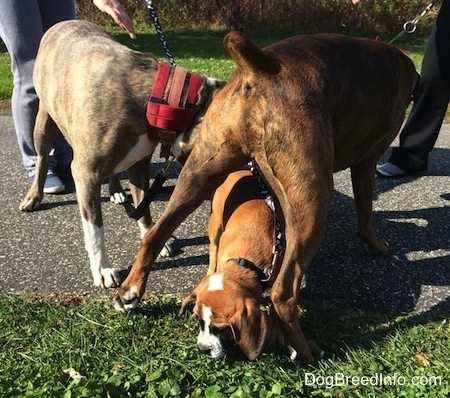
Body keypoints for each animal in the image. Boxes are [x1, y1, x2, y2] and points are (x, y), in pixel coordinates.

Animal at [18, 21, 223, 290]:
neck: (163, 102)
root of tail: (63, 23)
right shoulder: (85, 173)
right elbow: (95, 228)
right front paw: (102, 268)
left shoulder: (140, 164)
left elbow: (143, 205)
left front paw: (150, 235)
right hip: (44, 121)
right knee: (42, 158)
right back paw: (34, 196)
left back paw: (115, 191)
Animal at [115, 31, 418, 364]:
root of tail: (263, 65)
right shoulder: (367, 163)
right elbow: (366, 211)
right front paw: (374, 244)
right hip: (312, 197)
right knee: (283, 294)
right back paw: (306, 351)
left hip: (200, 174)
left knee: (155, 235)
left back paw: (129, 293)